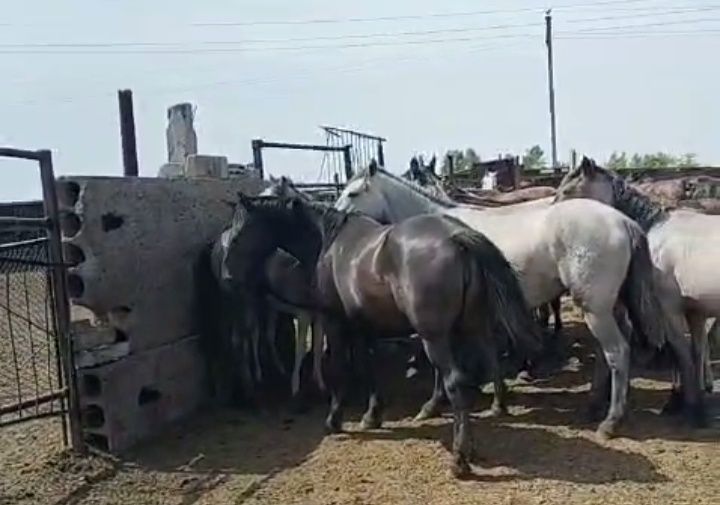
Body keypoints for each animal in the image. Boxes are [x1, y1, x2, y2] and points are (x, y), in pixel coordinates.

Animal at [223, 192, 541, 477]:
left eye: (237, 236)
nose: (226, 275)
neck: (330, 244)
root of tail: (457, 237)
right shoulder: (365, 327)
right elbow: (369, 367)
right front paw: (371, 415)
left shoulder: (336, 323)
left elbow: (341, 368)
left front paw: (334, 420)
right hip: (472, 326)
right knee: (488, 360)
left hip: (435, 337)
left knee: (456, 384)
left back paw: (459, 460)